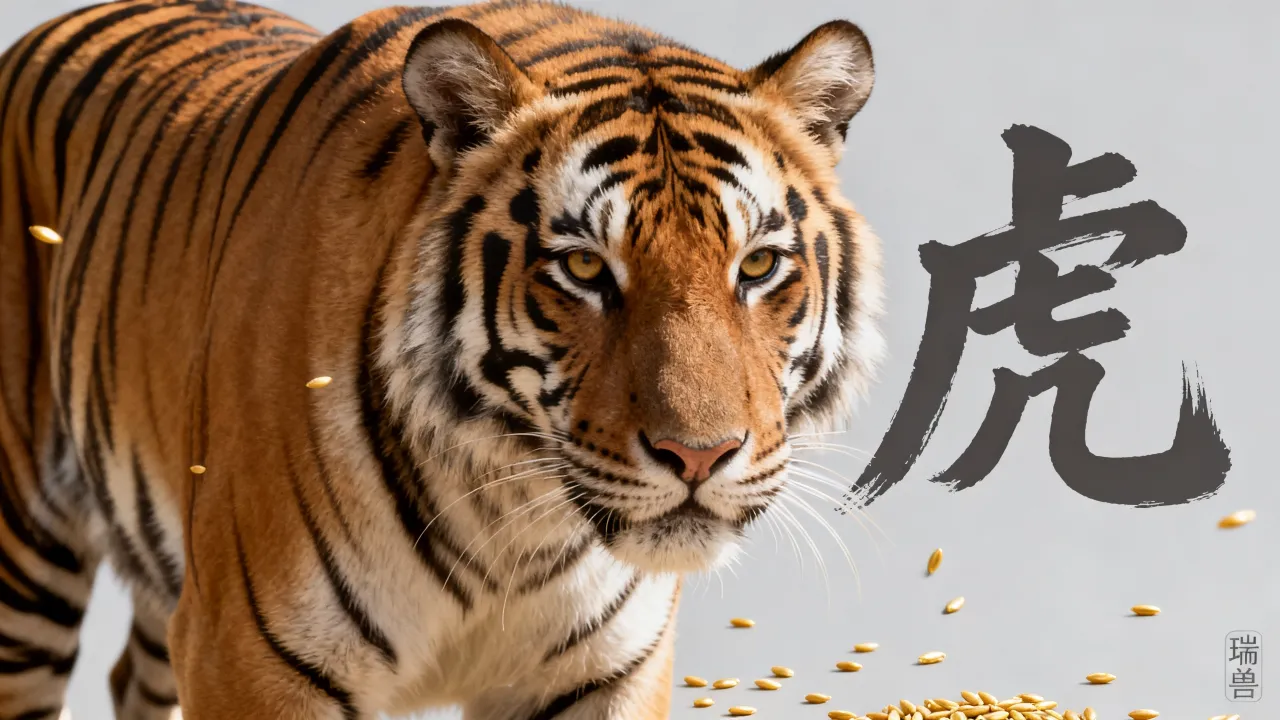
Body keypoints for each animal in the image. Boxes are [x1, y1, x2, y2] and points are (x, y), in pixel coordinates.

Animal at [0, 0, 884, 717]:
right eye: (585, 267)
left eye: (757, 266)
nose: (699, 456)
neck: (517, 525)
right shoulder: (248, 654)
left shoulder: (606, 672)